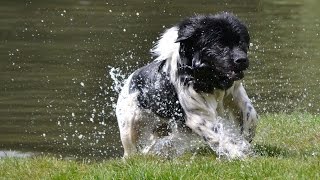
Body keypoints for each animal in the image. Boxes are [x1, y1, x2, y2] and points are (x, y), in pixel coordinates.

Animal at [116, 12, 258, 158]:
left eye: (241, 42)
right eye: (219, 44)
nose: (242, 60)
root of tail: (129, 82)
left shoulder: (234, 91)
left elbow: (250, 113)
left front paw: (246, 136)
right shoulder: (197, 115)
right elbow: (218, 134)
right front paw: (238, 152)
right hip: (130, 125)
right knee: (131, 149)